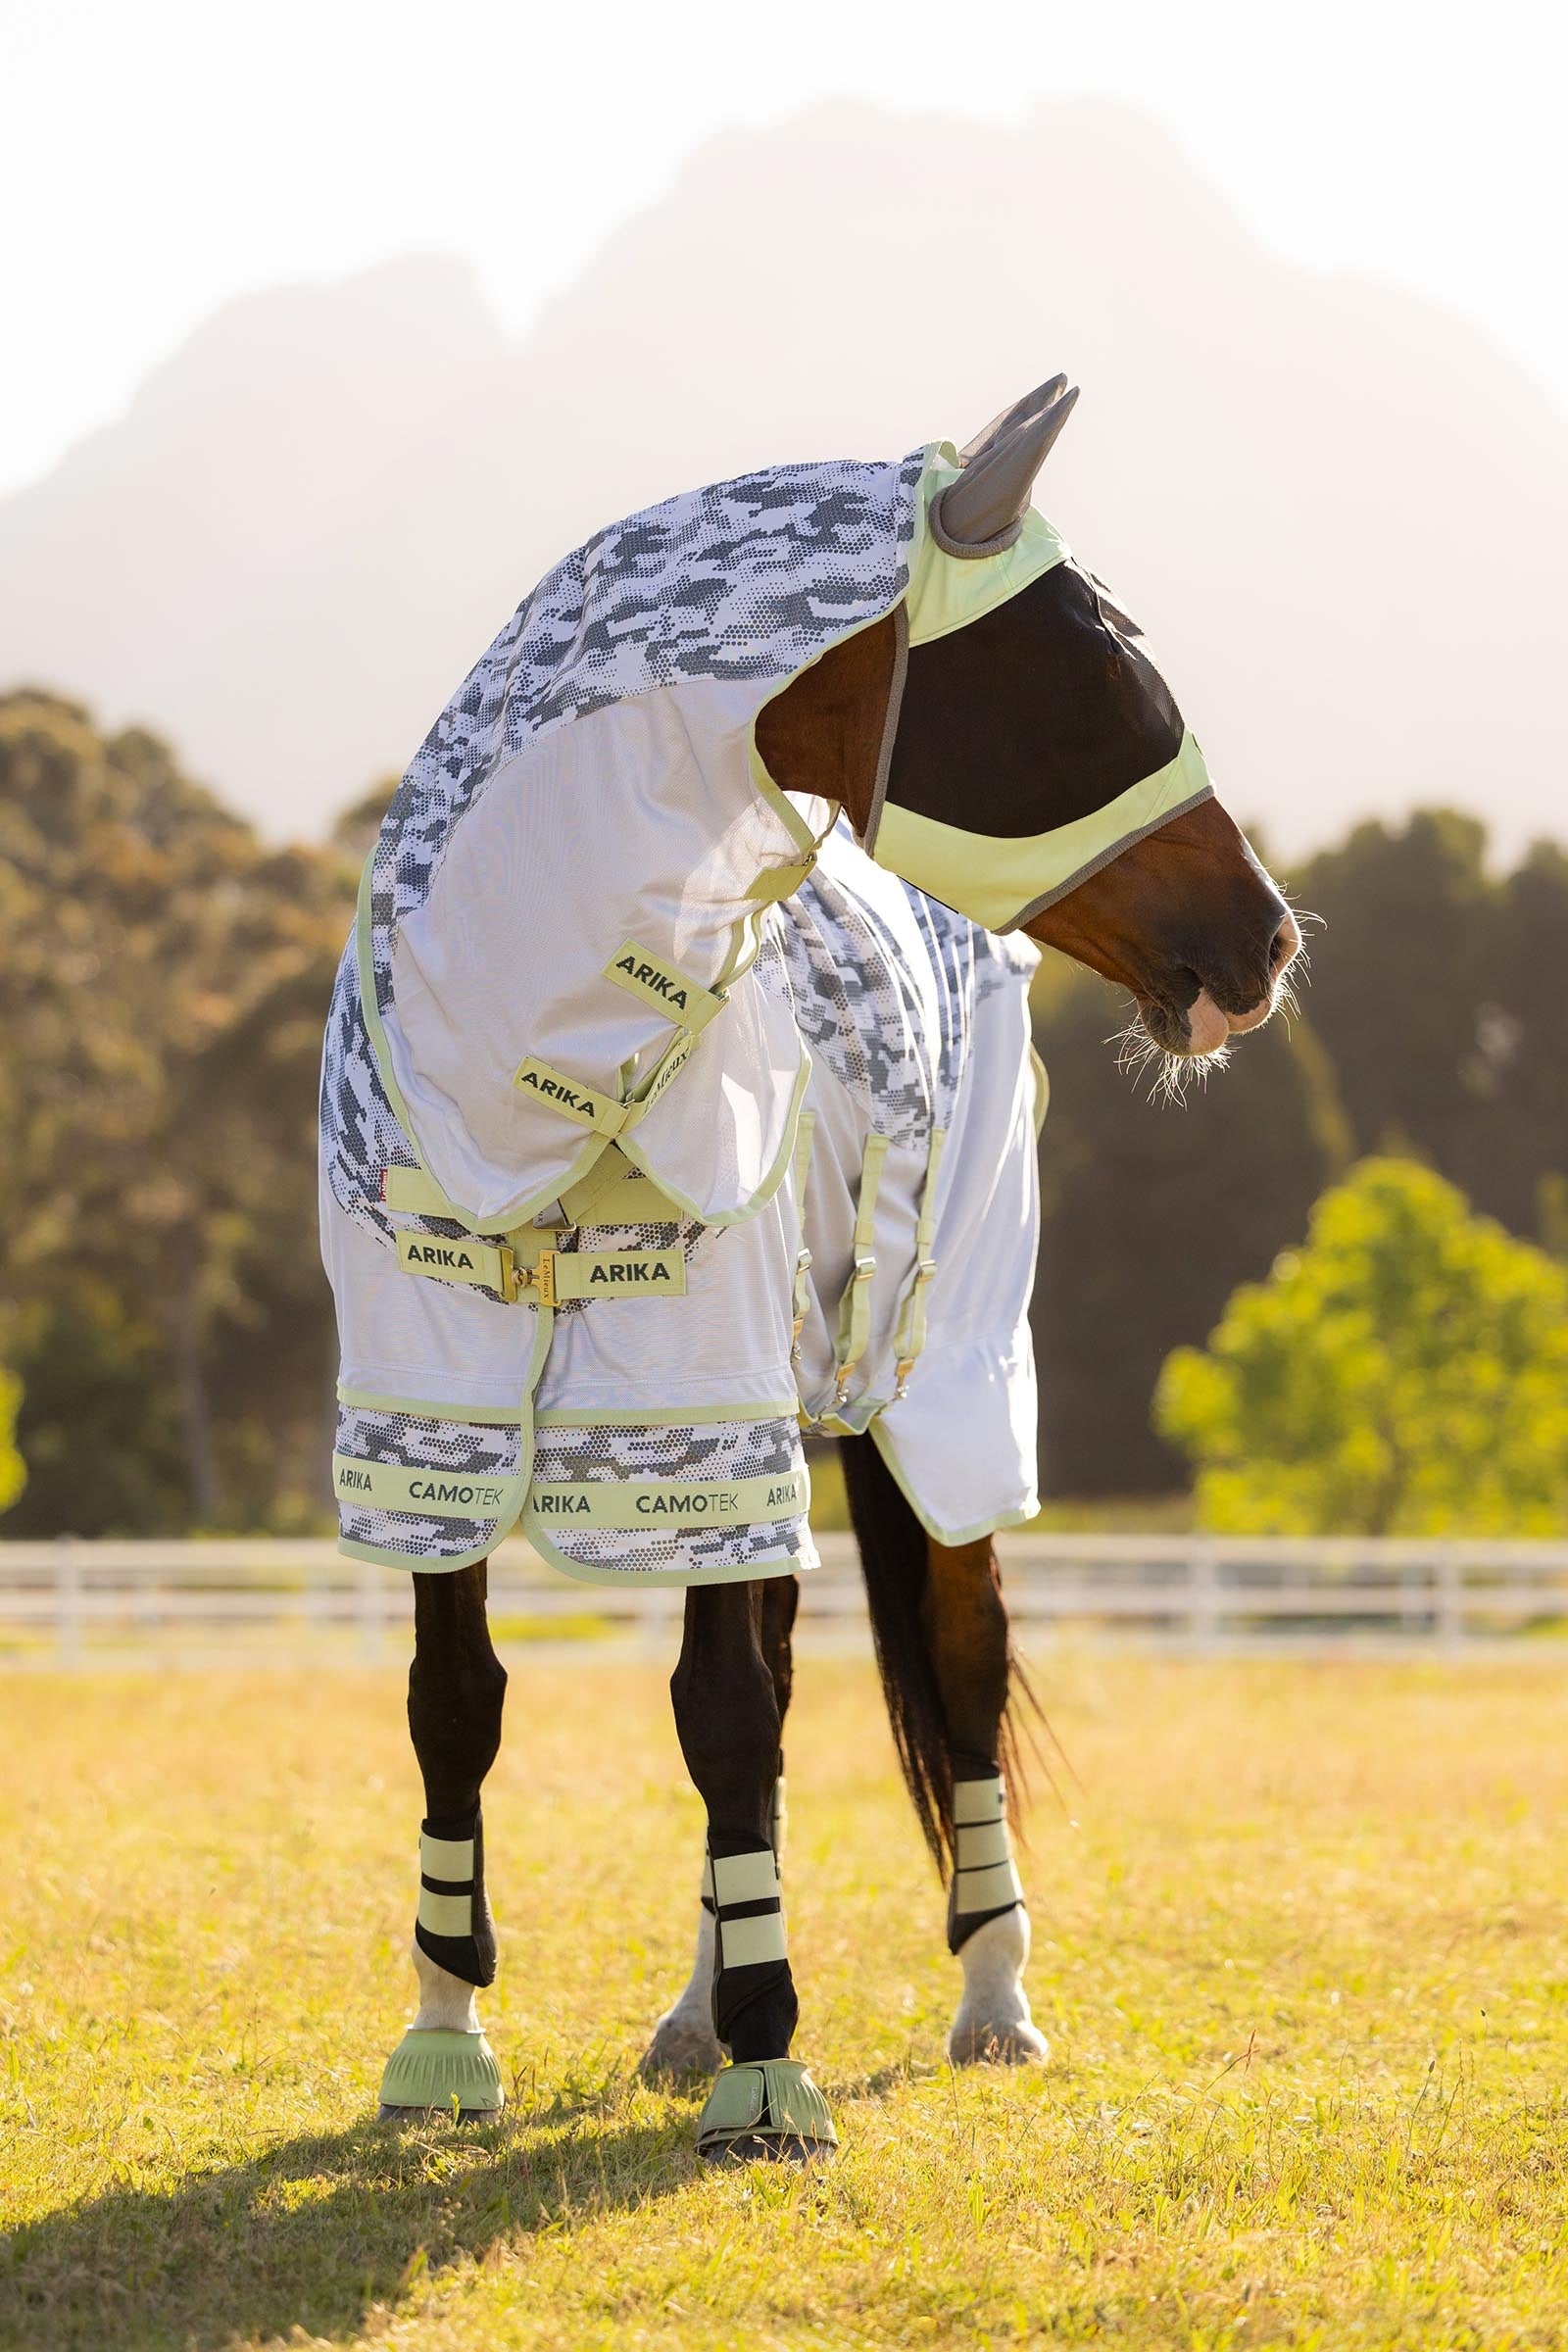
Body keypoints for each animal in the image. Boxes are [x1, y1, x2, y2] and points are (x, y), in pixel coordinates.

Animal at [319, 377, 1299, 2160]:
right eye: (1092, 666)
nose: (1262, 942)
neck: (526, 1085)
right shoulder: (427, 1409)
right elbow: (462, 1702)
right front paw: (442, 2043)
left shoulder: (696, 1391)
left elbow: (729, 1713)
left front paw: (774, 2079)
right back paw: (699, 2007)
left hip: (937, 1382)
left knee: (959, 1665)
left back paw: (993, 2003)